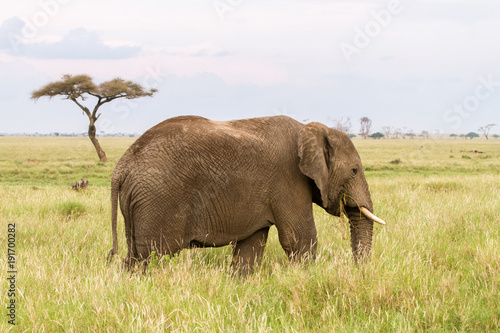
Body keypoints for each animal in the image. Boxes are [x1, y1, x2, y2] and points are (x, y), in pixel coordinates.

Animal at [107, 115, 384, 274]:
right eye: (354, 170)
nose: (358, 272)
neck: (311, 129)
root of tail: (122, 166)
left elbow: (251, 244)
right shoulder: (289, 179)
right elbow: (300, 238)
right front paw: (307, 278)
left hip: (138, 202)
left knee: (134, 256)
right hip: (157, 199)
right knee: (153, 256)